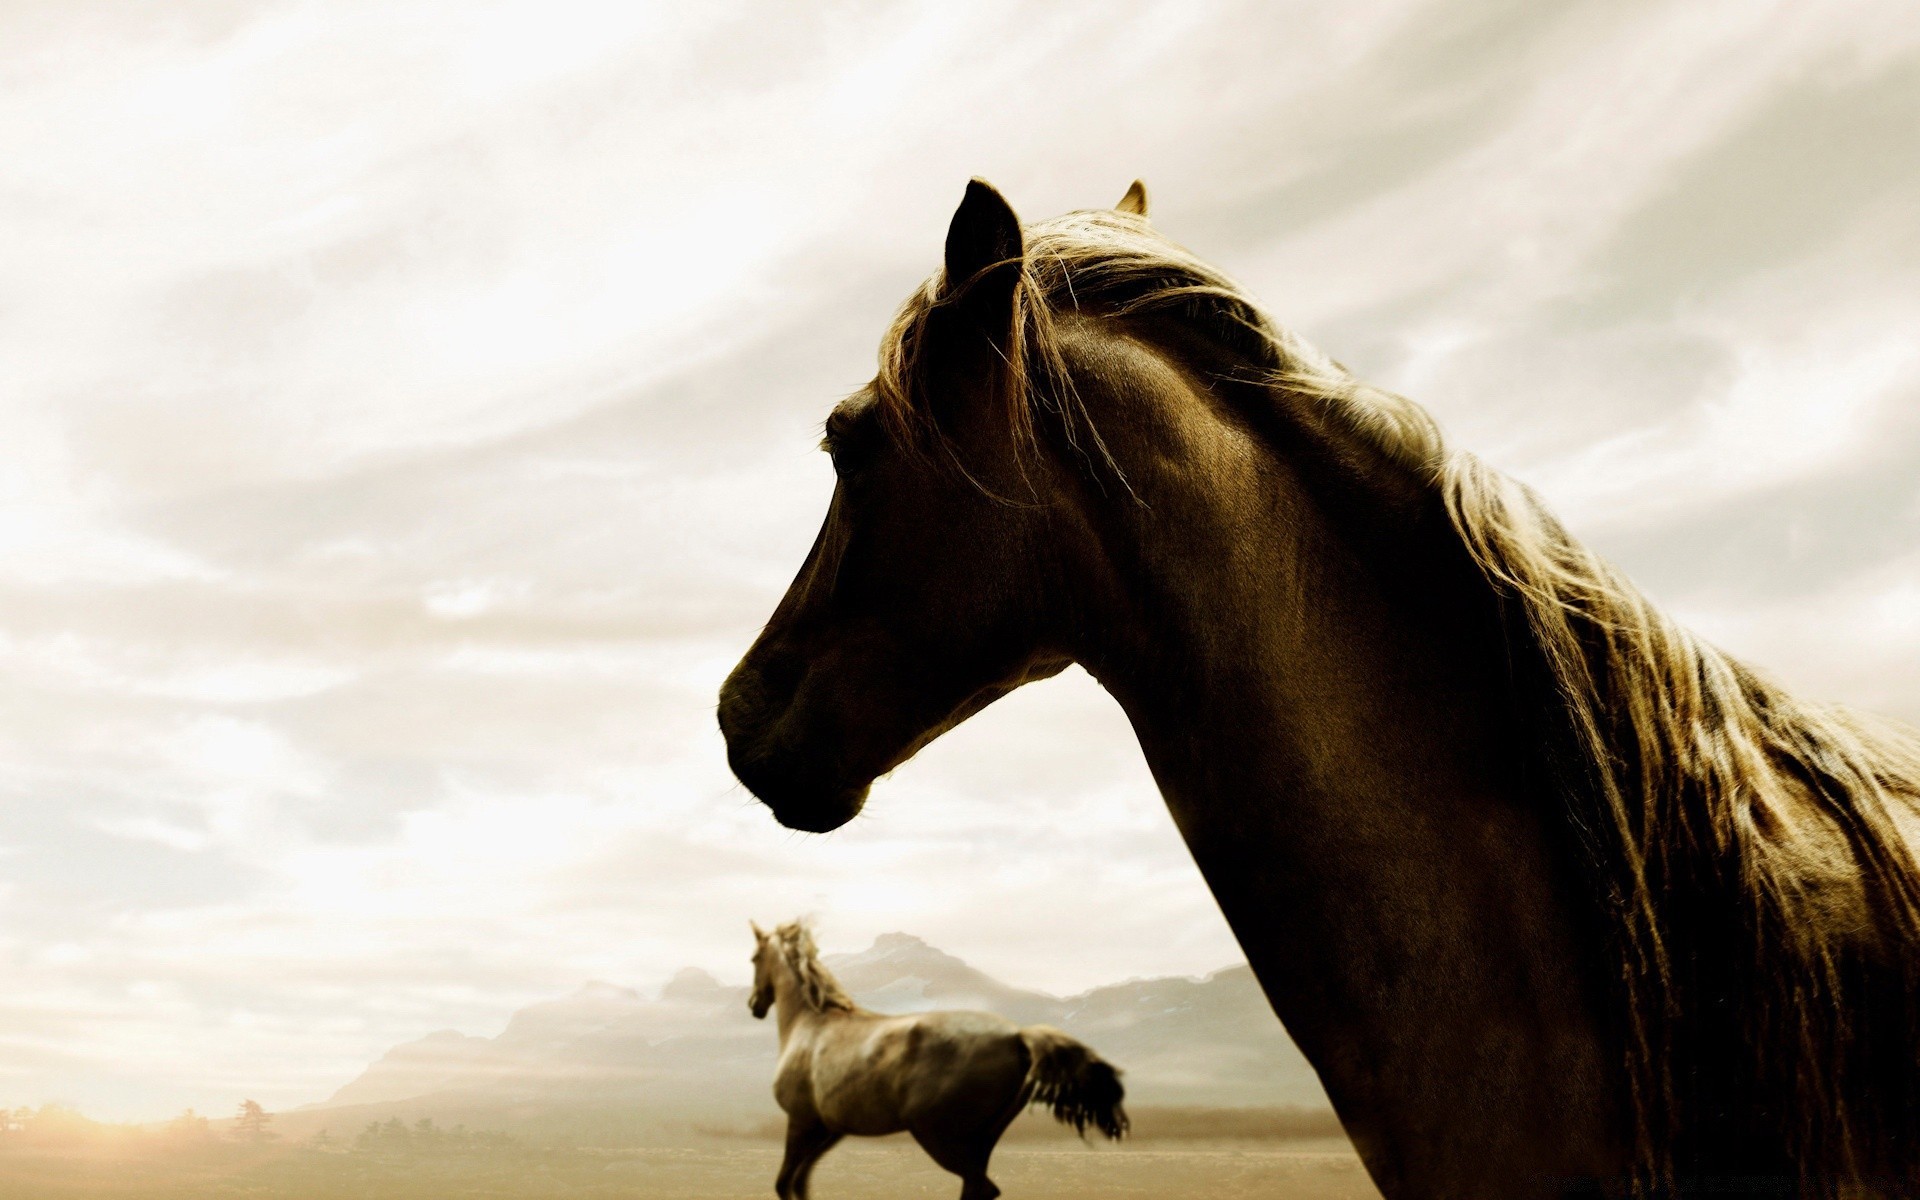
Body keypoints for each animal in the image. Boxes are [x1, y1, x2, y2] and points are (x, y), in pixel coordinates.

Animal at [737, 913, 1121, 1190]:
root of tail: (1017, 1037)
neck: (810, 1024)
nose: (754, 1005)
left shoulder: (800, 1122)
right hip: (979, 1140)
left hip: (937, 1134)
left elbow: (784, 1183)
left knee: (983, 1187)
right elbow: (800, 1183)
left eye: (754, 957)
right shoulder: (829, 1129)